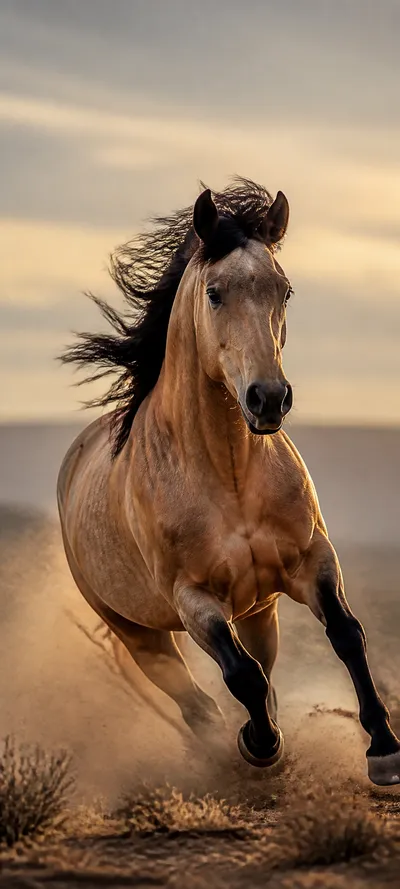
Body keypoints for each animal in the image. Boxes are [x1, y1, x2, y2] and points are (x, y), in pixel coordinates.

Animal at [57, 178, 400, 785]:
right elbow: (241, 675)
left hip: (261, 610)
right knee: (196, 701)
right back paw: (226, 748)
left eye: (284, 291)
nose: (268, 399)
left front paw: (383, 749)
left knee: (260, 668)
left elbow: (347, 635)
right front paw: (259, 746)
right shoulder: (194, 599)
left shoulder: (312, 559)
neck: (231, 477)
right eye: (215, 293)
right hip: (139, 633)